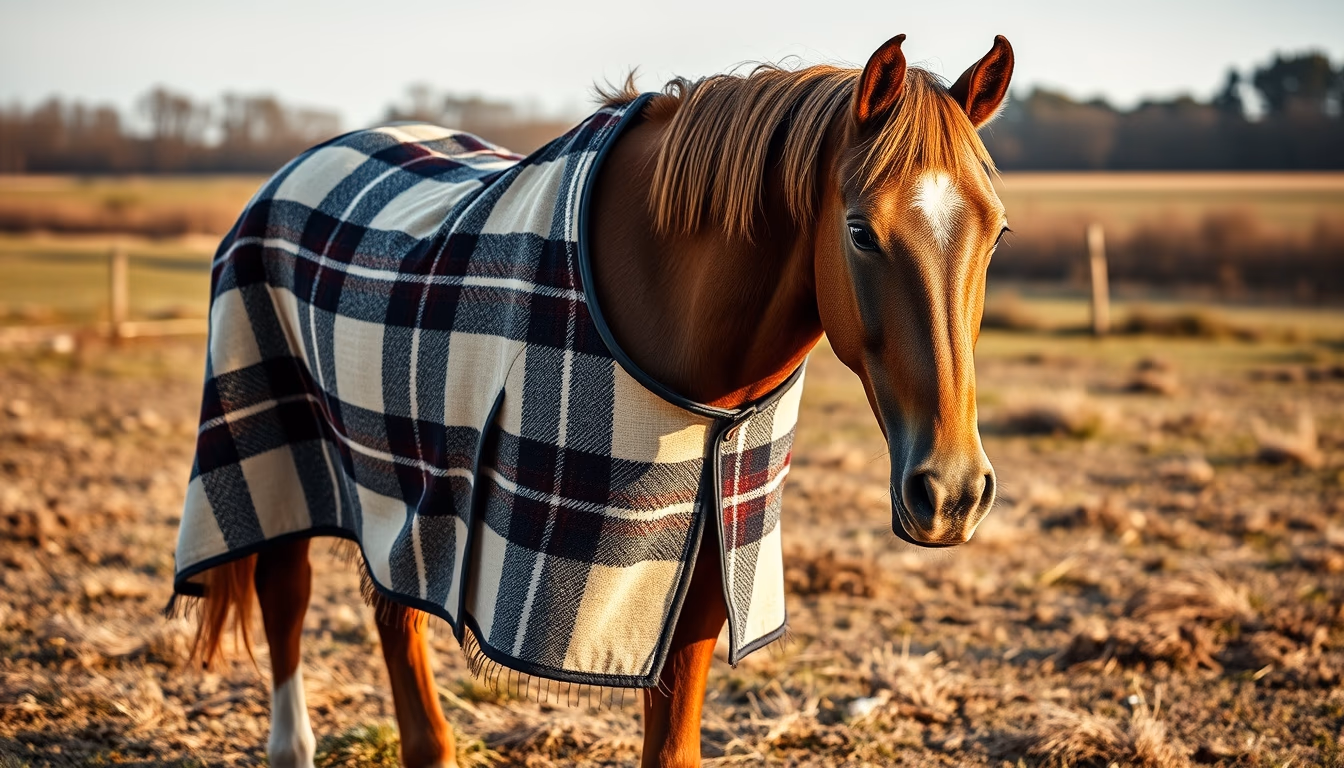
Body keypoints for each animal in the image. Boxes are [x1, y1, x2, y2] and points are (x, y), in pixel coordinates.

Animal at [180, 32, 1013, 768]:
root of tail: (298, 165)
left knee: (395, 614)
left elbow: (672, 748)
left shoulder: (697, 574)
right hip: (280, 447)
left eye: (998, 233)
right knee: (285, 596)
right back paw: (291, 747)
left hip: (400, 490)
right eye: (861, 232)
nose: (951, 492)